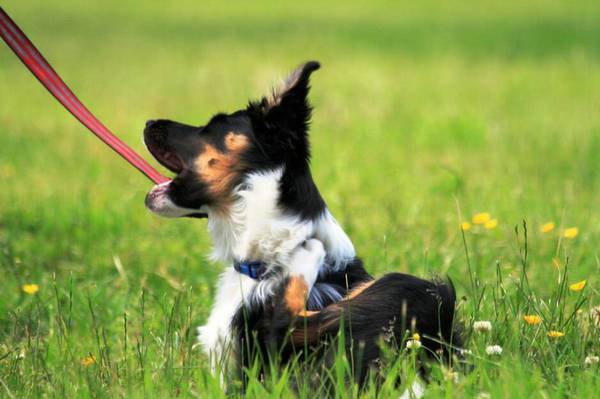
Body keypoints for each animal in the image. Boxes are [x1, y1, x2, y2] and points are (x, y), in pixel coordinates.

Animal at [143, 61, 462, 388]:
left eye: (213, 125)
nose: (149, 122)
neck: (272, 256)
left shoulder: (254, 367)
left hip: (408, 287)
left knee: (287, 324)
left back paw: (309, 255)